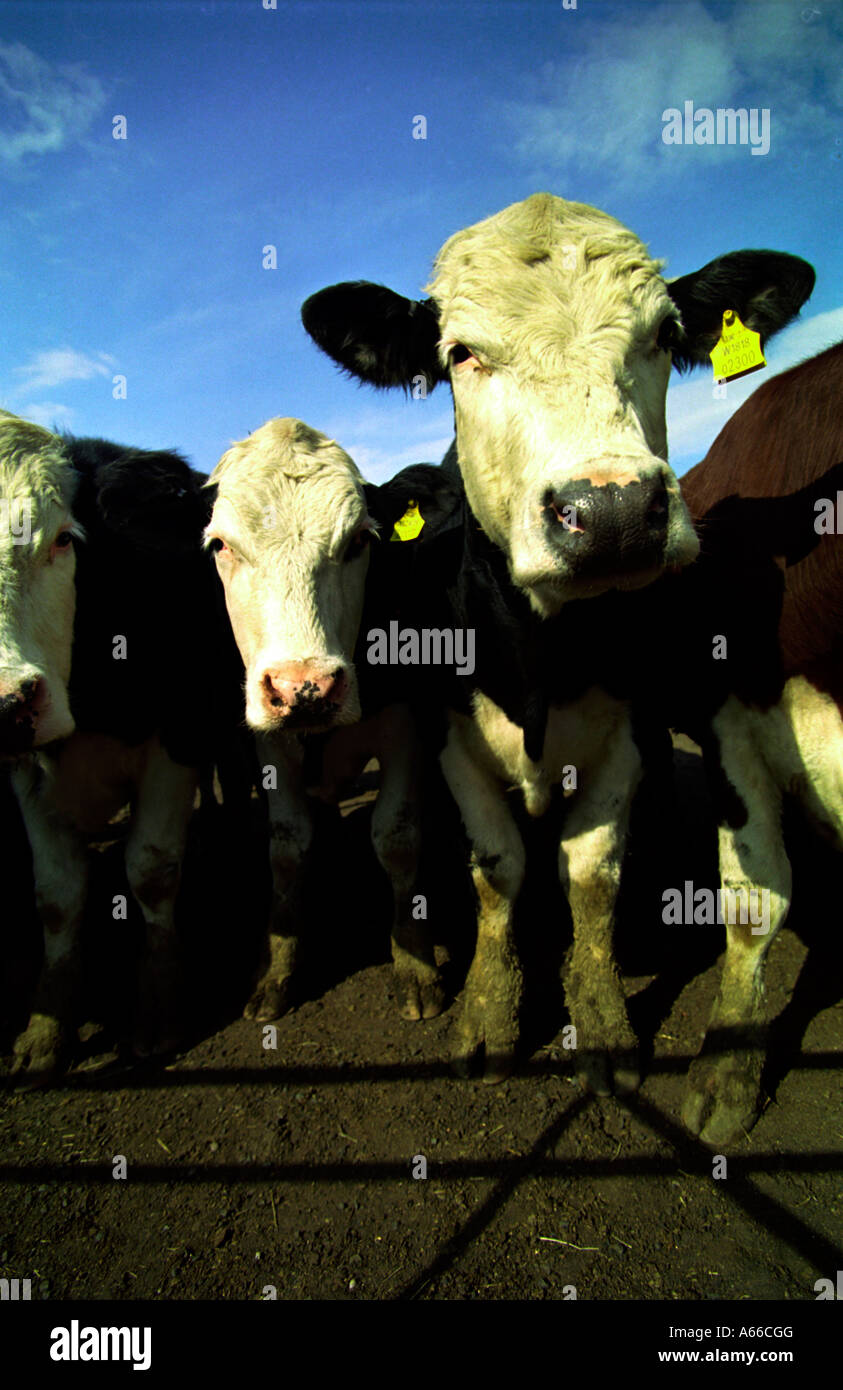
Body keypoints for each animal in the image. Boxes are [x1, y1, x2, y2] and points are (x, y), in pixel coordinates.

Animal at [0, 411, 235, 1073]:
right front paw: (46, 1028)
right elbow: (56, 893)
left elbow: (151, 869)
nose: (6, 702)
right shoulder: (27, 765)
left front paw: (158, 1011)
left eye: (62, 539)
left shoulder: (177, 733)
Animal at [204, 417, 445, 1028]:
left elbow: (397, 838)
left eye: (359, 540)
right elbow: (288, 845)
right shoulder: (269, 743)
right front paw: (277, 968)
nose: (304, 687)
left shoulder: (404, 727)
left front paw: (415, 963)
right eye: (221, 545)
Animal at [300, 193, 817, 1106]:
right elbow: (497, 870)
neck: (541, 650)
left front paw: (601, 1020)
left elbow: (590, 875)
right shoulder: (452, 736)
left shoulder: (627, 738)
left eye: (663, 334)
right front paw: (488, 1015)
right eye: (460, 353)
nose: (610, 511)